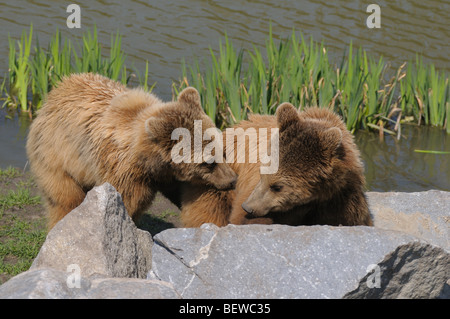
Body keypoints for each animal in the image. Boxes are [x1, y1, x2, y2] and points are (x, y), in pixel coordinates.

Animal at [27, 74, 239, 230]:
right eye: (208, 162)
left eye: (222, 152)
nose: (232, 180)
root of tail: (56, 90)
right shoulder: (123, 172)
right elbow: (125, 203)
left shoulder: (164, 174)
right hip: (57, 154)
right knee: (65, 199)